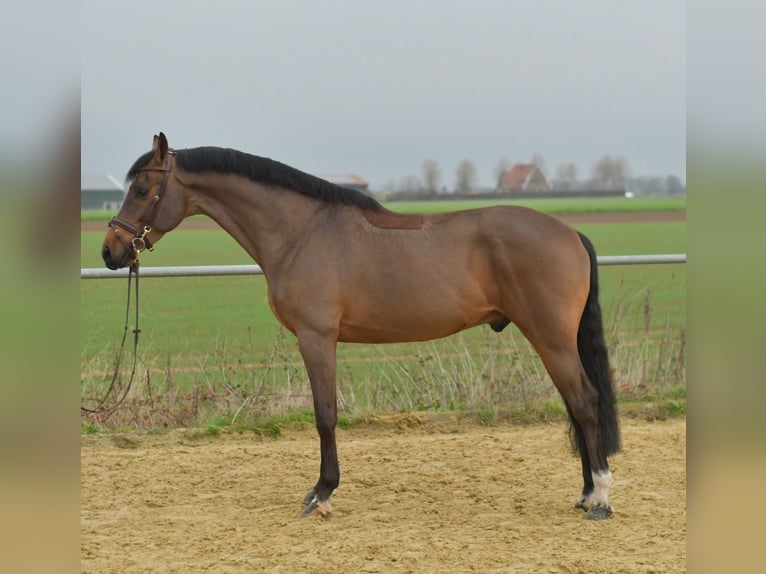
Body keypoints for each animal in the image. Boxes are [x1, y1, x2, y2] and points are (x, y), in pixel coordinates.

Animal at [102, 133, 621, 521]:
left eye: (142, 190)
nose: (111, 251)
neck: (300, 232)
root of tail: (570, 232)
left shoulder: (316, 339)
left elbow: (325, 415)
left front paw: (322, 493)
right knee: (576, 405)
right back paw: (584, 493)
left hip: (551, 337)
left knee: (584, 401)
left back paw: (599, 497)